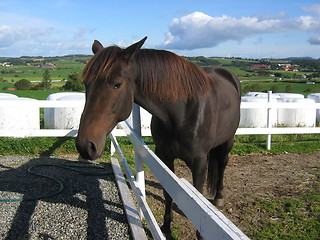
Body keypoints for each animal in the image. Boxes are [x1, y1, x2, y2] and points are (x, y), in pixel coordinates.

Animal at [75, 36, 240, 237]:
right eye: (86, 84)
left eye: (117, 84)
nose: (85, 145)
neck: (182, 112)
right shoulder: (164, 156)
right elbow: (168, 192)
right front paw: (166, 227)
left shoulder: (199, 162)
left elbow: (199, 208)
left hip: (227, 141)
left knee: (223, 164)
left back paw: (219, 197)